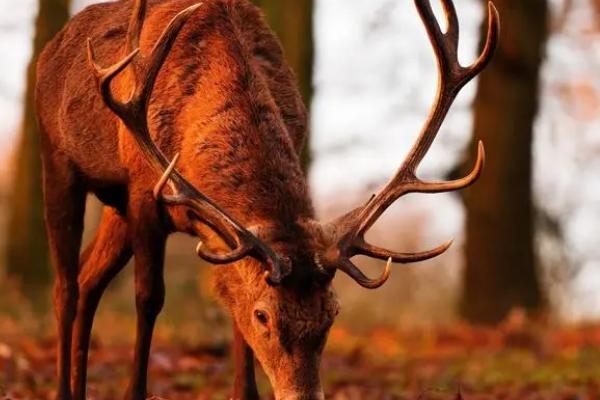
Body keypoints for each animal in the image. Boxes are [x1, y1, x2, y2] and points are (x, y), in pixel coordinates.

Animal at [35, 0, 500, 396]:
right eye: (264, 316)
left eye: (332, 313)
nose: (304, 395)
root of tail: (50, 49)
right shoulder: (144, 194)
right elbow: (149, 298)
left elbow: (232, 306)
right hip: (57, 160)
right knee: (65, 287)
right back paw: (62, 388)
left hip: (114, 209)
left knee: (89, 278)